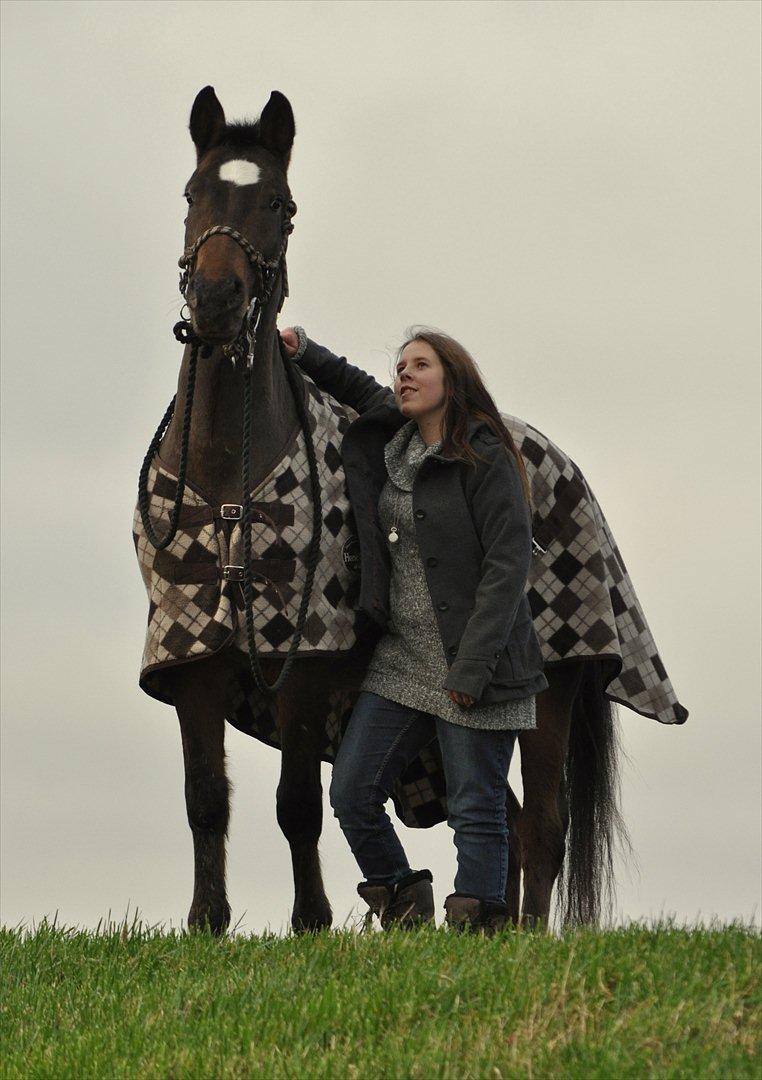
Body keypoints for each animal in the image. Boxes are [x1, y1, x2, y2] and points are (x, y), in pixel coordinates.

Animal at [133, 86, 677, 937]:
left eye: (281, 205)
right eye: (193, 195)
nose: (218, 301)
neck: (230, 485)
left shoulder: (303, 661)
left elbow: (298, 803)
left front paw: (311, 922)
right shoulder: (195, 661)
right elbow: (205, 801)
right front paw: (206, 924)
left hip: (552, 687)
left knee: (542, 823)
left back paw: (524, 933)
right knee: (506, 817)